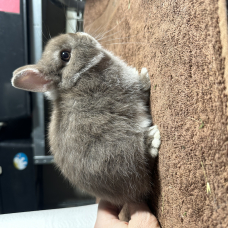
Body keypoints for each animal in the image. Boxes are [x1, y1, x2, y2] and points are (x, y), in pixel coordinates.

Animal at [11, 32, 160, 205]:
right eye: (65, 55)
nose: (83, 34)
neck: (79, 75)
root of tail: (132, 195)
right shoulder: (127, 84)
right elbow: (141, 88)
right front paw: (145, 75)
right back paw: (152, 139)